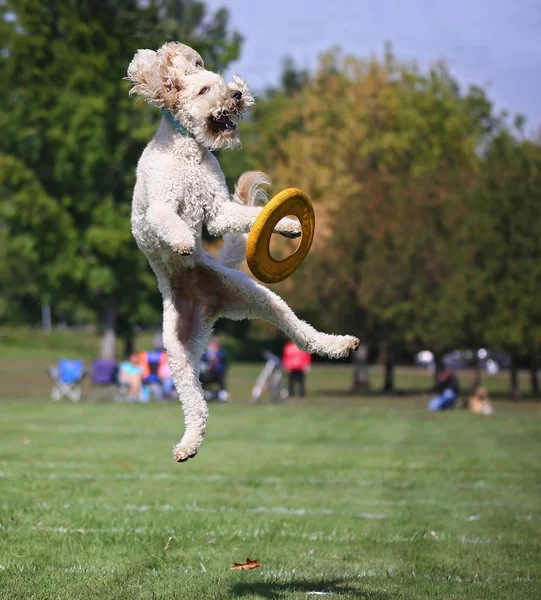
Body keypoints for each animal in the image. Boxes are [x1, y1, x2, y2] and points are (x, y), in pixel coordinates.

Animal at [126, 43, 358, 464]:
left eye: (218, 82)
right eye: (204, 89)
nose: (235, 94)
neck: (189, 151)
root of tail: (208, 304)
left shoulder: (217, 210)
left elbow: (246, 217)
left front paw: (289, 225)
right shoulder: (159, 206)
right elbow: (169, 220)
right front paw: (183, 241)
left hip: (257, 297)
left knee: (300, 335)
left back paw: (337, 344)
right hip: (177, 351)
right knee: (196, 404)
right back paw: (187, 445)